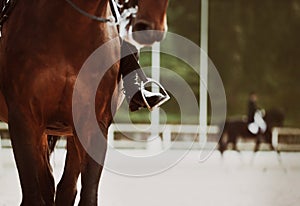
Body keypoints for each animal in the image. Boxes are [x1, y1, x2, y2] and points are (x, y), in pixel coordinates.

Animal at [0, 0, 169, 206]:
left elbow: (87, 193)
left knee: (64, 187)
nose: (149, 27)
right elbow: (33, 194)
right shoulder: (24, 119)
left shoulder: (93, 122)